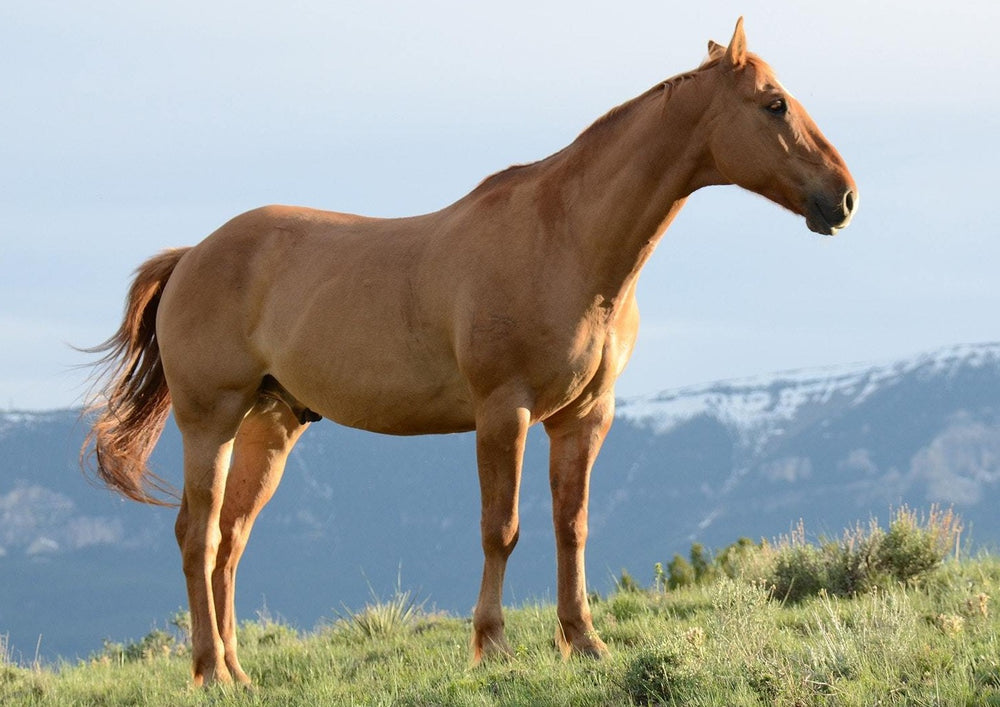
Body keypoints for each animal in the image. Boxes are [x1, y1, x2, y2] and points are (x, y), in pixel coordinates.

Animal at [83, 18, 856, 685]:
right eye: (774, 104)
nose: (843, 198)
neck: (566, 241)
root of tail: (192, 255)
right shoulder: (503, 412)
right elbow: (501, 529)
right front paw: (493, 645)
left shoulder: (585, 417)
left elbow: (571, 526)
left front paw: (585, 641)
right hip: (210, 419)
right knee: (198, 535)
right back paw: (210, 670)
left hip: (269, 426)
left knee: (231, 541)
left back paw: (238, 671)